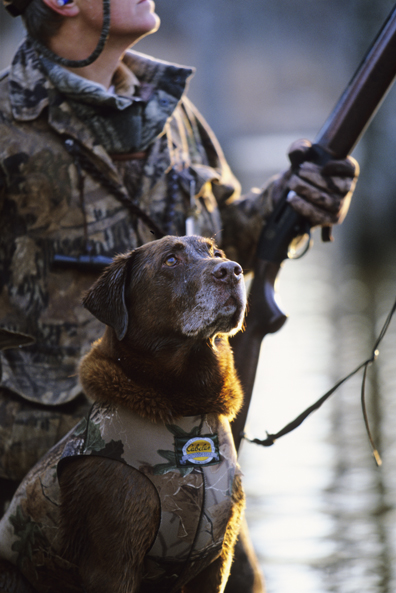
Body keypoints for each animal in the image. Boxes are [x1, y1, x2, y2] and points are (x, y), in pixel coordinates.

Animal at [0, 235, 246, 592]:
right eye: (170, 260)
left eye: (216, 252)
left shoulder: (217, 558)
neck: (188, 412)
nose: (231, 270)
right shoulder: (114, 562)